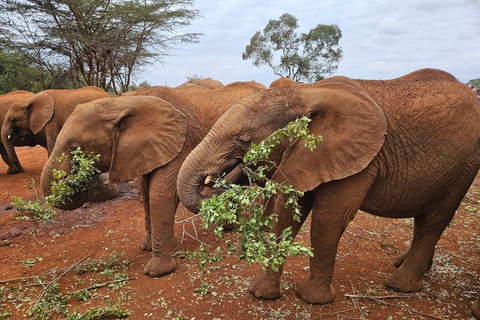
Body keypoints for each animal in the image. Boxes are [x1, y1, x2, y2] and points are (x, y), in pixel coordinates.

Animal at [39, 82, 266, 278]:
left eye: (76, 149)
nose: (73, 179)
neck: (122, 103)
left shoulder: (178, 143)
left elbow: (160, 195)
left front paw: (157, 271)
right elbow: (146, 192)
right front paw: (146, 247)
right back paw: (229, 226)